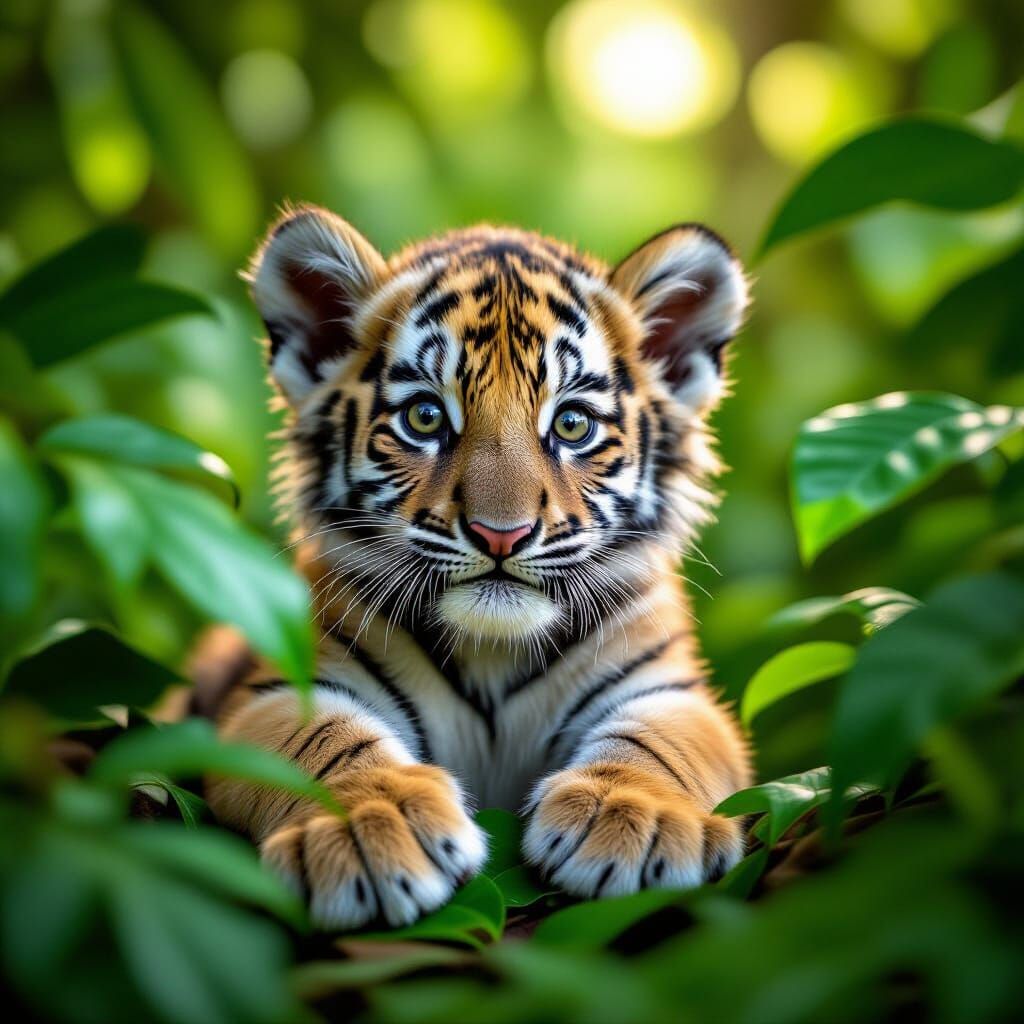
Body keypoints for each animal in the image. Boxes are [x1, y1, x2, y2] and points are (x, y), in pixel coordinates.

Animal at [204, 205, 753, 929]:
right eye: (424, 417)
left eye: (572, 425)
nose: (502, 534)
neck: (492, 651)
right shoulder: (275, 693)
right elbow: (325, 740)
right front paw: (370, 827)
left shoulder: (672, 690)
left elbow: (658, 742)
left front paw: (635, 819)